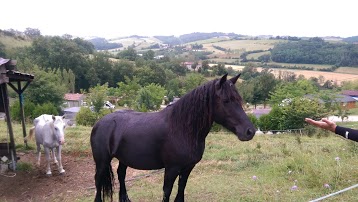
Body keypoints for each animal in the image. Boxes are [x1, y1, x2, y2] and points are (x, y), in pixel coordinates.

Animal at [91, 73, 256, 201]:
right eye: (226, 100)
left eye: (239, 99)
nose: (250, 131)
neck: (182, 129)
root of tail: (100, 122)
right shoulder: (171, 169)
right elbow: (167, 191)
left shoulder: (188, 167)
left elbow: (181, 188)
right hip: (102, 161)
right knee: (98, 181)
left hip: (124, 159)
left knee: (121, 175)